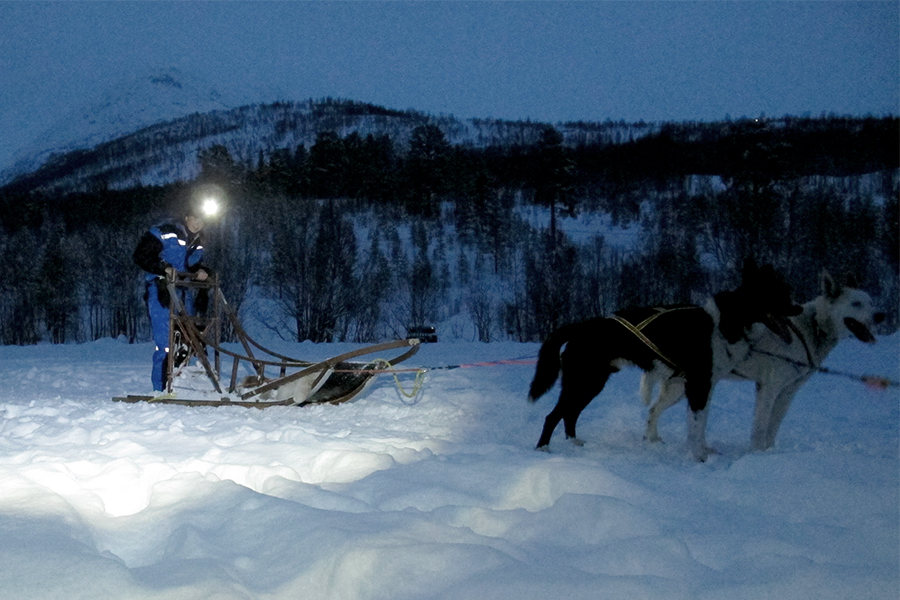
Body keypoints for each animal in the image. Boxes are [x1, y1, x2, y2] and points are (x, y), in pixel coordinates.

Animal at [528, 260, 800, 462]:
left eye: (786, 292)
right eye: (778, 295)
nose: (798, 308)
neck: (727, 321)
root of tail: (581, 326)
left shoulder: (704, 386)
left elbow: (701, 423)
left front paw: (704, 450)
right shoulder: (699, 386)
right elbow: (697, 425)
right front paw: (699, 457)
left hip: (591, 385)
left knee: (570, 414)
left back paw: (574, 442)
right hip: (584, 382)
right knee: (554, 415)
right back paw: (543, 449)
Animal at [640, 270, 884, 450]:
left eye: (871, 302)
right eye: (856, 304)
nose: (881, 315)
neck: (811, 328)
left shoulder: (787, 393)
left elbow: (773, 427)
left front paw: (768, 452)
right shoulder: (768, 388)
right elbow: (759, 428)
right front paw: (757, 454)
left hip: (680, 388)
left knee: (653, 410)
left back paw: (653, 440)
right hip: (687, 388)